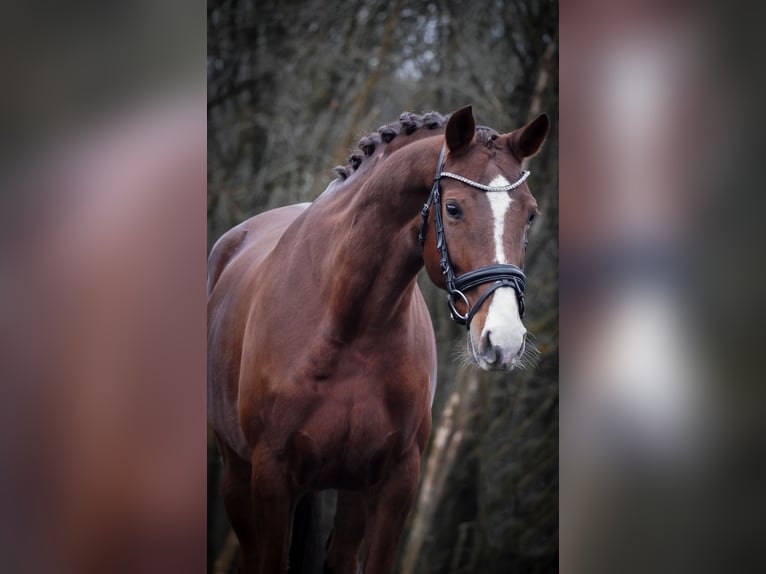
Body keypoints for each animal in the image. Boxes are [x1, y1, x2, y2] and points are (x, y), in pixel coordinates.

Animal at [207, 106, 548, 572]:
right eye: (453, 208)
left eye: (530, 214)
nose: (505, 339)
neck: (349, 329)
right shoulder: (271, 476)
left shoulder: (395, 480)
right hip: (237, 476)